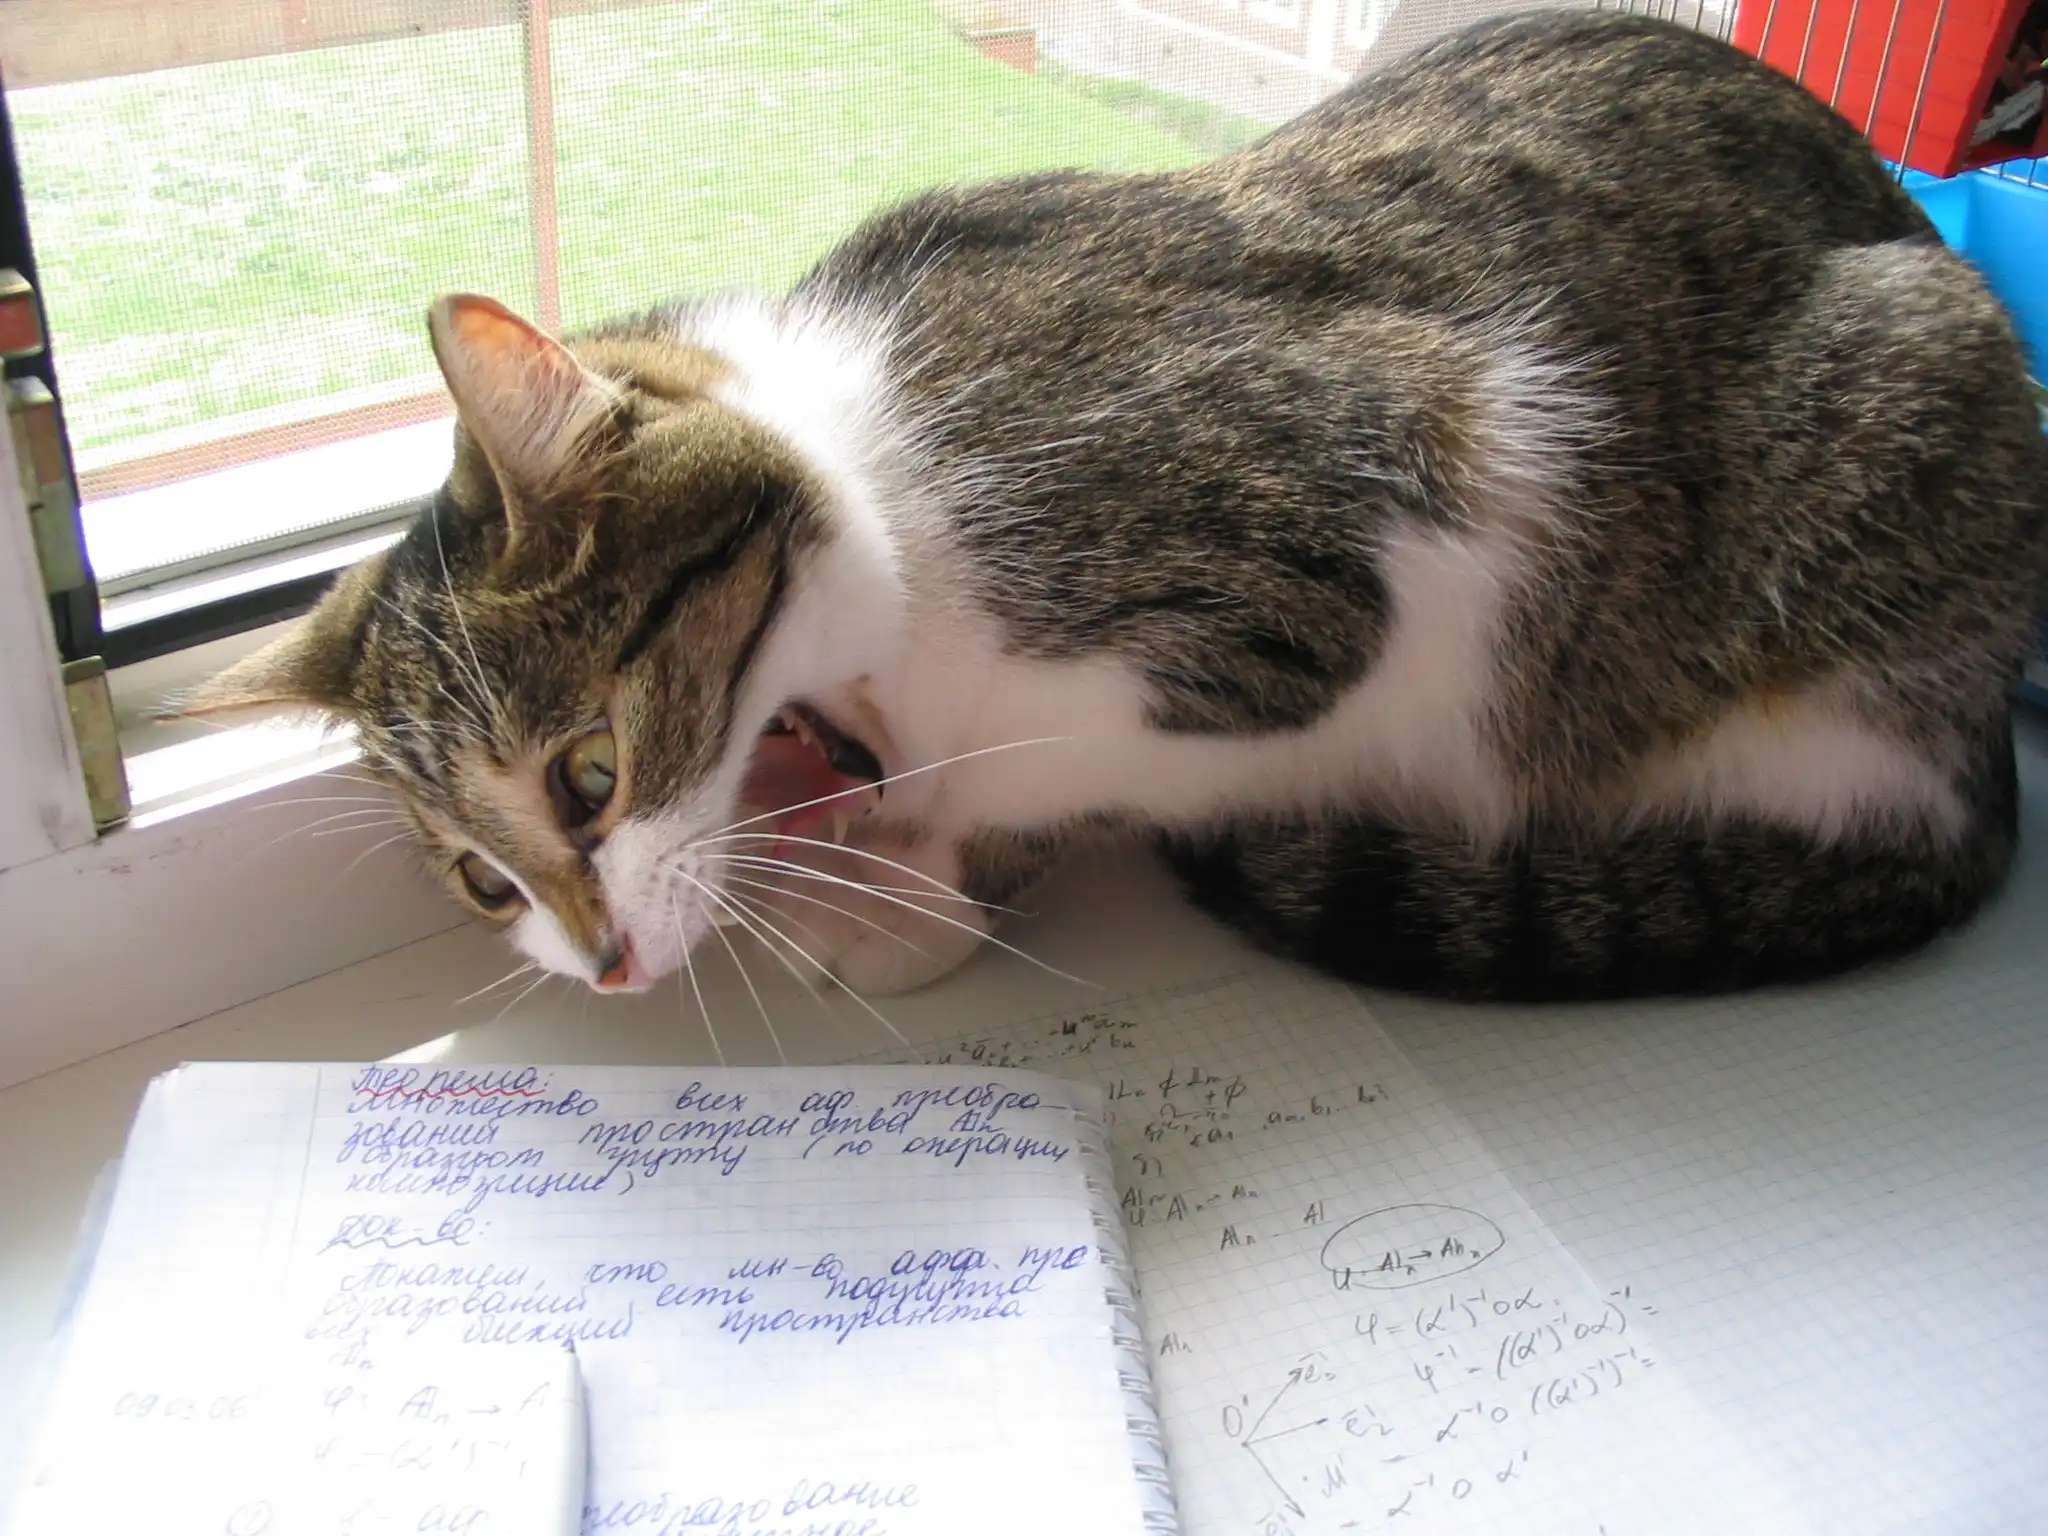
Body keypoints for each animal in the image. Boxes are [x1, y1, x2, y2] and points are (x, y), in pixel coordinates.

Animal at [192, 9, 2048, 1003]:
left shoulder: (1389, 499)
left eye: (586, 776)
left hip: (1882, 463)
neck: (892, 491)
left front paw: (910, 871)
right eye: (477, 883)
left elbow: (1068, 745)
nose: (606, 968)